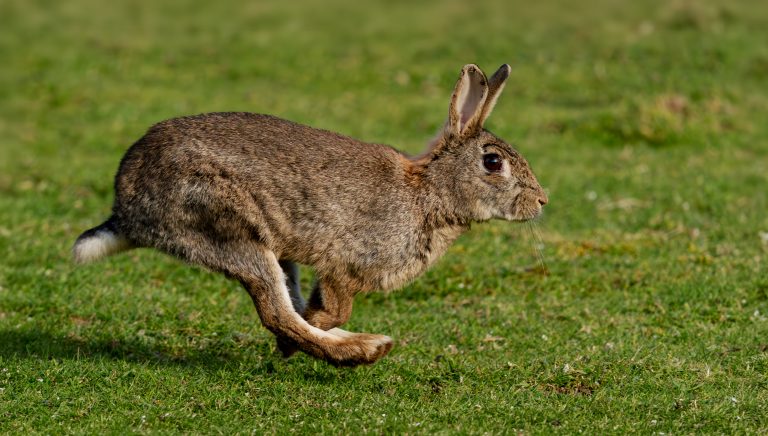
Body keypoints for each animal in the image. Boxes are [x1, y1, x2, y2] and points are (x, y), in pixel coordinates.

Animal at [72, 64, 548, 366]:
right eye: (492, 163)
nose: (541, 201)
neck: (429, 193)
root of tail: (126, 210)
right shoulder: (344, 263)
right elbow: (331, 309)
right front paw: (306, 338)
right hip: (228, 228)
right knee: (278, 312)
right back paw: (363, 351)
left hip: (272, 252)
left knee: (288, 305)